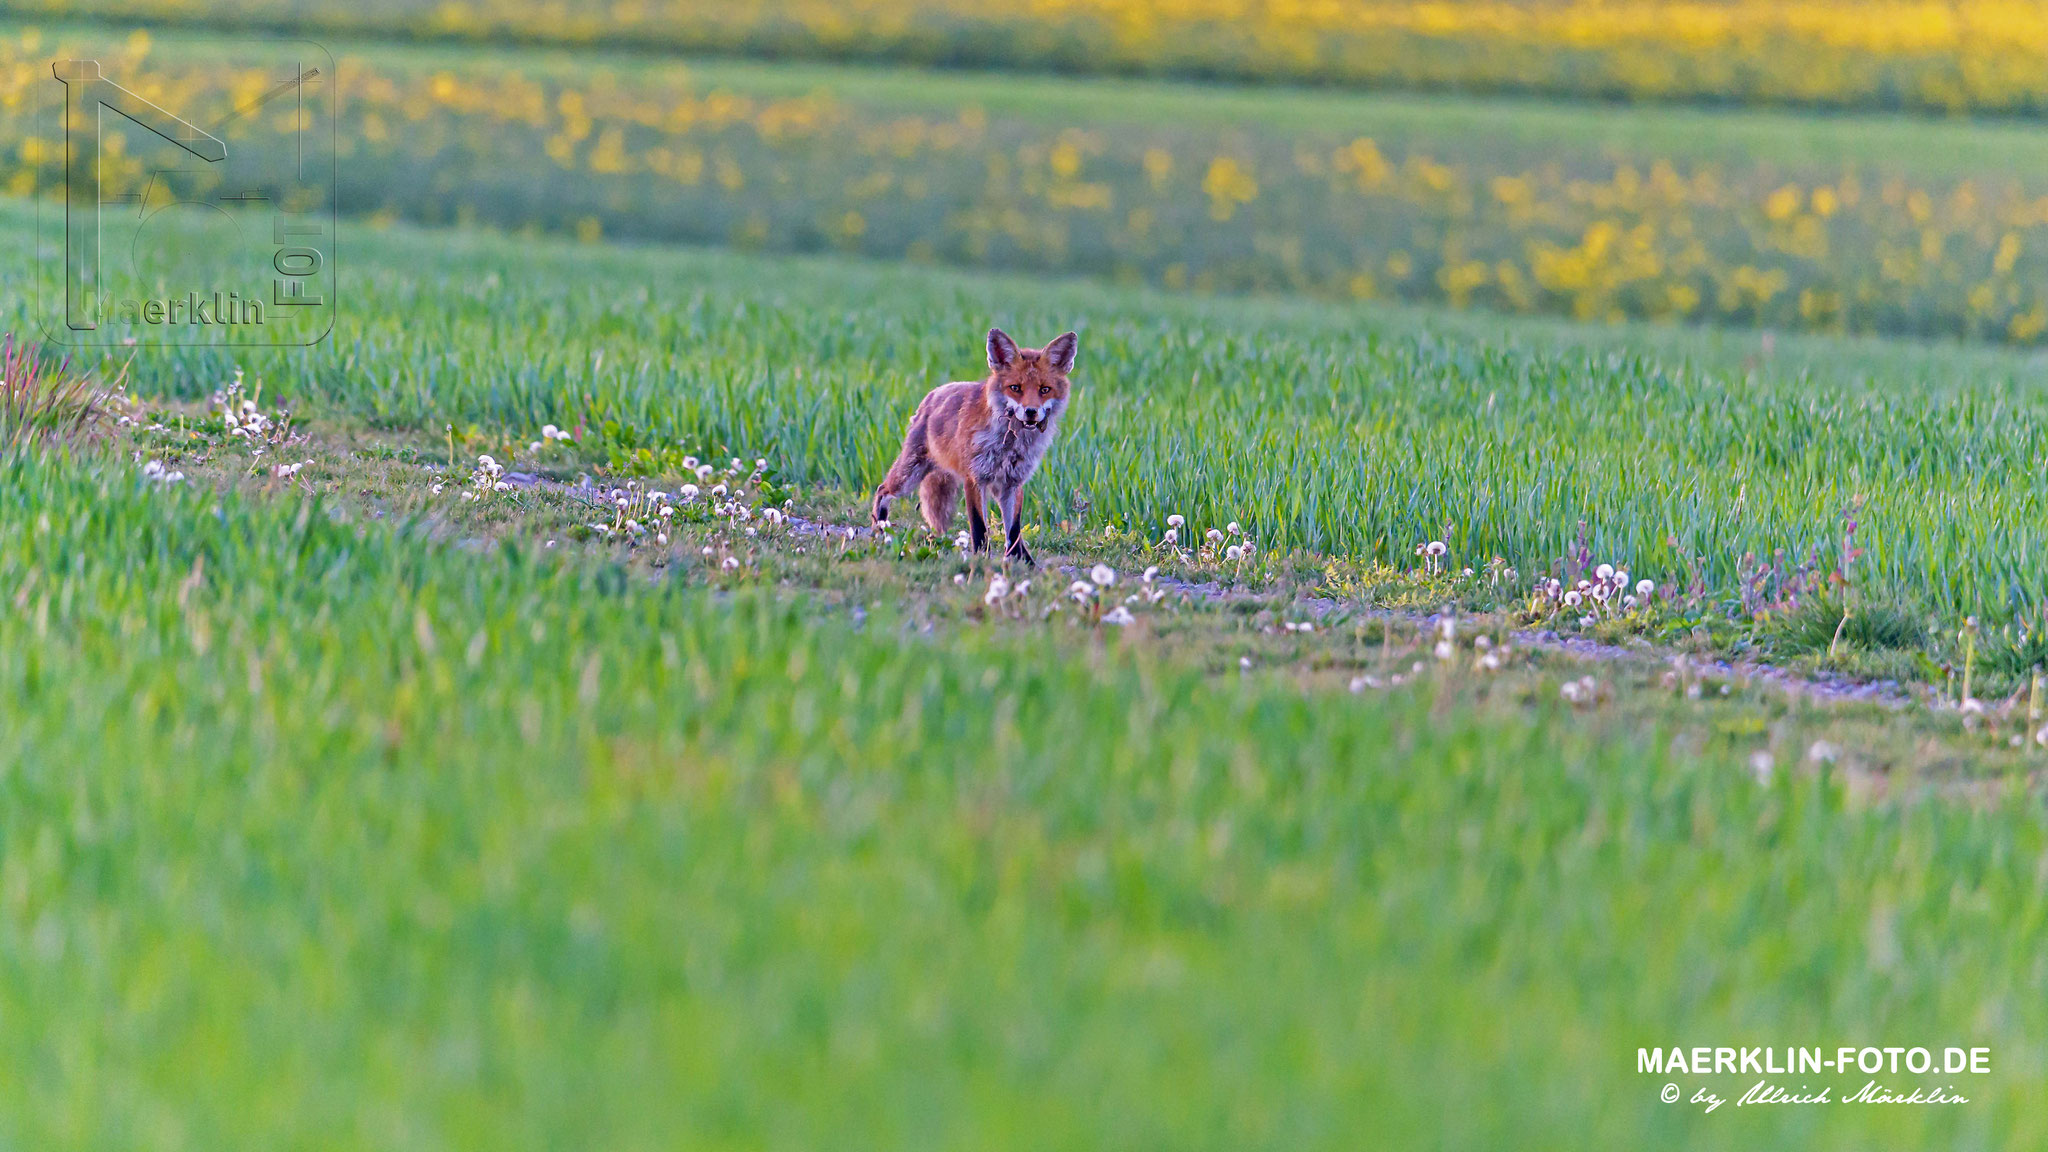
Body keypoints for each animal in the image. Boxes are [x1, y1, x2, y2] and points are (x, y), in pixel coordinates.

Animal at [872, 325, 1081, 561]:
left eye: (1044, 389)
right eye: (1015, 388)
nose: (1031, 412)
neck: (1010, 446)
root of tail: (934, 393)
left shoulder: (1013, 483)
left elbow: (1014, 531)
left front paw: (1021, 562)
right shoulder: (974, 478)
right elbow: (979, 527)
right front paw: (981, 559)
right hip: (909, 475)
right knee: (882, 490)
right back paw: (881, 531)